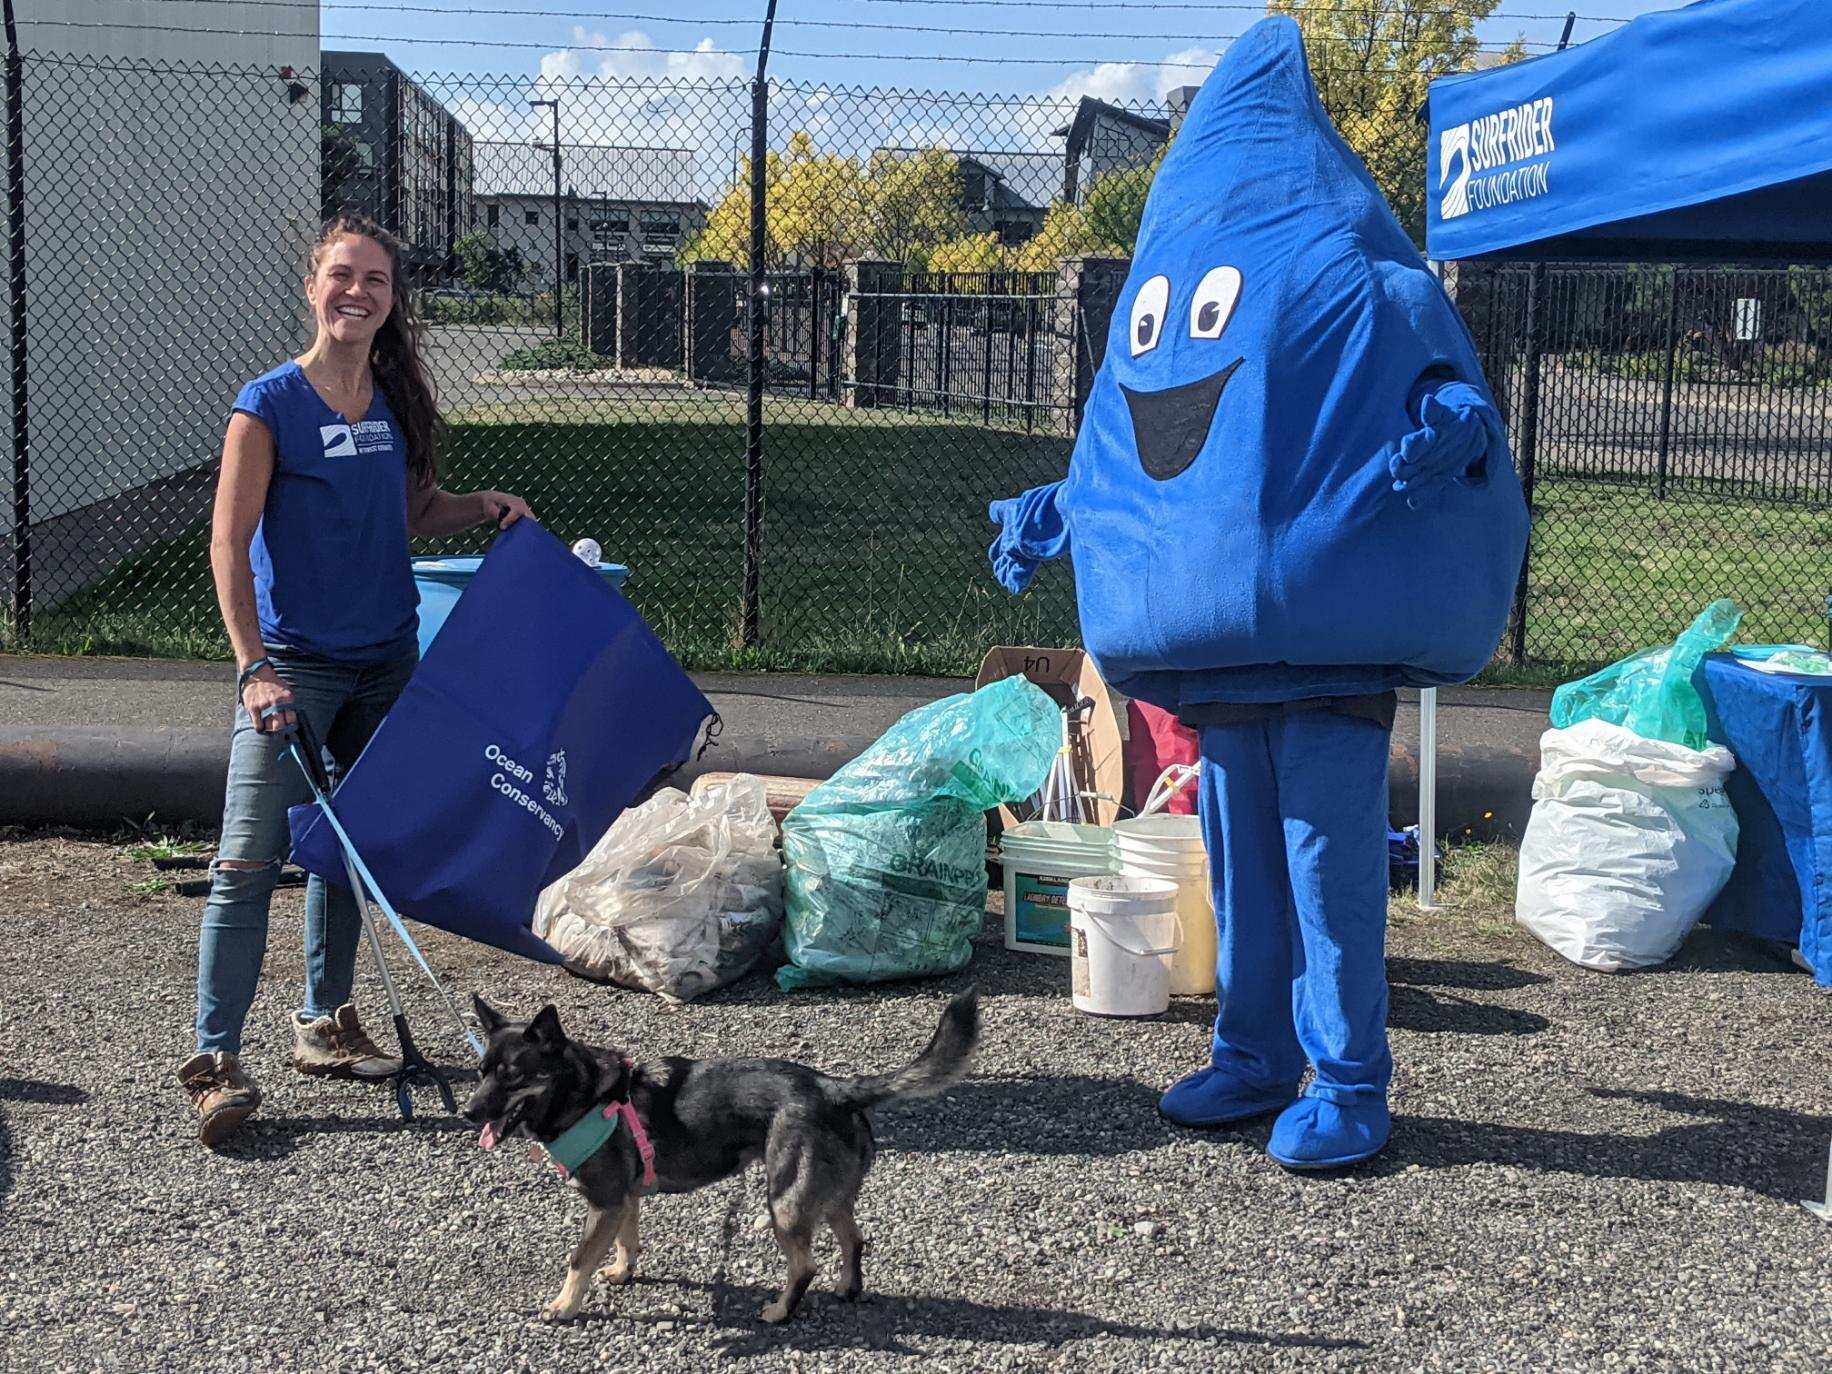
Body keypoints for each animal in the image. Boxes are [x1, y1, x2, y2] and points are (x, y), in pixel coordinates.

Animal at [465, 989, 981, 1326]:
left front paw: (564, 1306)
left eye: (512, 1076)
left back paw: (779, 1311)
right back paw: (848, 1289)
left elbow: (578, 1259)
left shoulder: (605, 1202)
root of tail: (835, 1087)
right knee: (853, 1240)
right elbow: (626, 1241)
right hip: (827, 1196)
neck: (585, 1093)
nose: (468, 1112)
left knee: (805, 1266)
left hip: (785, 1202)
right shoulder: (626, 1198)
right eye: (481, 1070)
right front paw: (622, 1271)